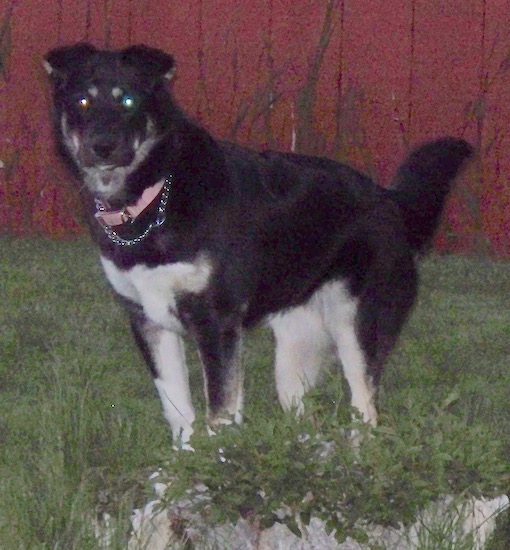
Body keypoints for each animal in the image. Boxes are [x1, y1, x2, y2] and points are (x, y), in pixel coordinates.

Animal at [44, 42, 474, 448]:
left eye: (128, 100)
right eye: (82, 101)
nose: (102, 146)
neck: (152, 197)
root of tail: (390, 201)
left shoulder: (216, 322)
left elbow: (218, 414)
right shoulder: (147, 320)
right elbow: (179, 413)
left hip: (357, 330)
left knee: (366, 413)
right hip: (293, 356)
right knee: (308, 421)